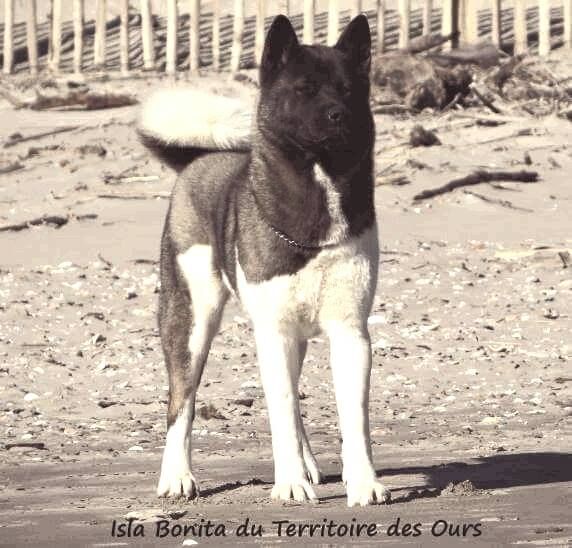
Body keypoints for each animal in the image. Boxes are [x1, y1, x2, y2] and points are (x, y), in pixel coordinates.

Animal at [136, 13, 392, 510]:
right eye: (305, 89)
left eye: (348, 89)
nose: (339, 115)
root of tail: (199, 159)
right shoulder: (273, 333)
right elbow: (280, 413)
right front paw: (289, 483)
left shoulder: (350, 334)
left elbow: (354, 417)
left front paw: (363, 483)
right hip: (191, 322)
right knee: (182, 402)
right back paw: (177, 476)